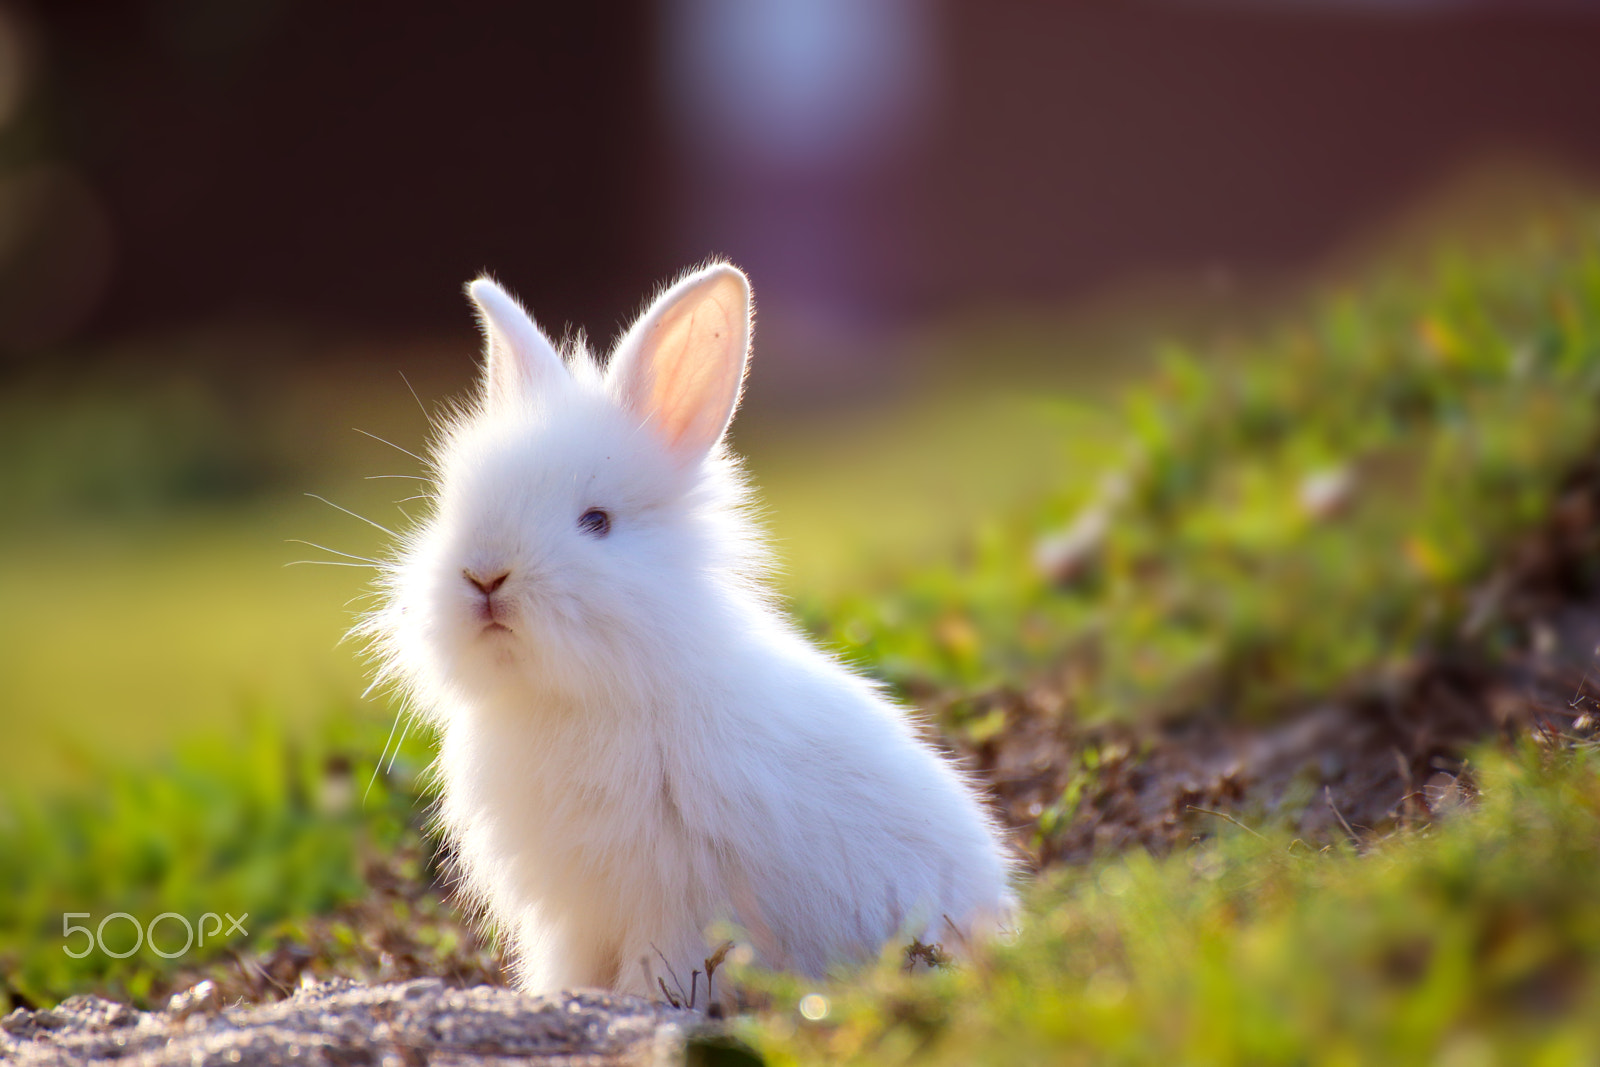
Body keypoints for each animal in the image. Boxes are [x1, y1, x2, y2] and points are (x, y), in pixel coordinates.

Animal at [360, 262, 1011, 998]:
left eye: (596, 521)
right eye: (452, 508)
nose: (484, 575)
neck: (579, 694)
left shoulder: (676, 901)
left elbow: (663, 969)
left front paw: (641, 1006)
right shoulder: (574, 919)